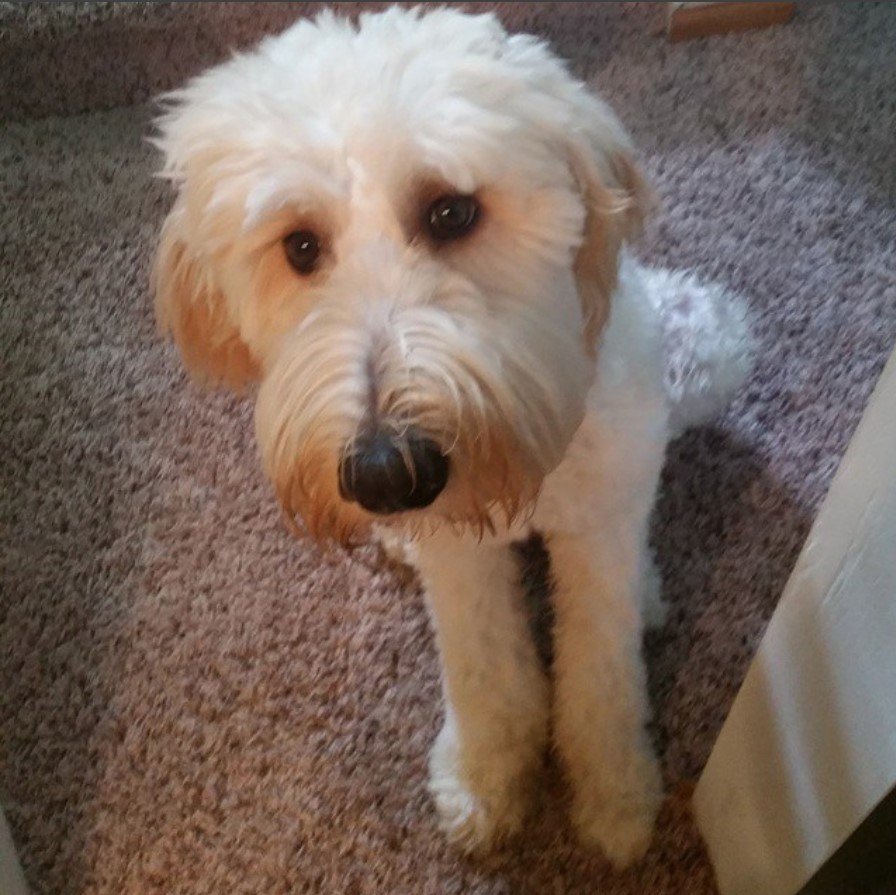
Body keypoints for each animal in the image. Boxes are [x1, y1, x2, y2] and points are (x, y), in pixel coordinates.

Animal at [152, 7, 748, 872]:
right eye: (300, 246)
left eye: (452, 212)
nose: (383, 474)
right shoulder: (459, 557)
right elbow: (484, 670)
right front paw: (486, 781)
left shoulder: (597, 530)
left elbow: (600, 673)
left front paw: (614, 794)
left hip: (704, 353)